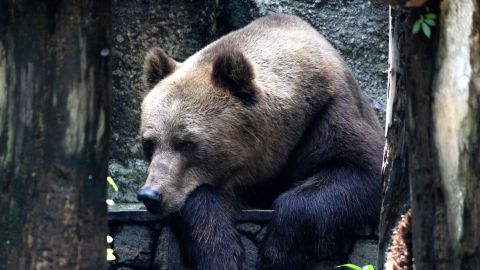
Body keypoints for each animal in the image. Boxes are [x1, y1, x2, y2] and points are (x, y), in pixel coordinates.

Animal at [137, 13, 384, 270]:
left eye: (186, 143)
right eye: (149, 143)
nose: (150, 195)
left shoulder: (327, 113)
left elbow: (359, 168)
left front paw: (276, 255)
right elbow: (196, 199)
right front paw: (221, 254)